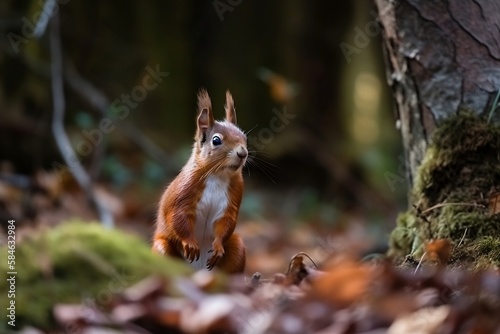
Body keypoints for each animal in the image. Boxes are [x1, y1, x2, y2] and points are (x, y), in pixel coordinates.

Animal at [151, 89, 247, 274]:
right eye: (216, 140)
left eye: (245, 137)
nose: (243, 153)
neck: (218, 175)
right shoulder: (185, 189)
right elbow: (178, 216)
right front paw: (190, 243)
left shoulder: (234, 196)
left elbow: (227, 222)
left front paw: (218, 246)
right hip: (162, 249)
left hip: (238, 247)